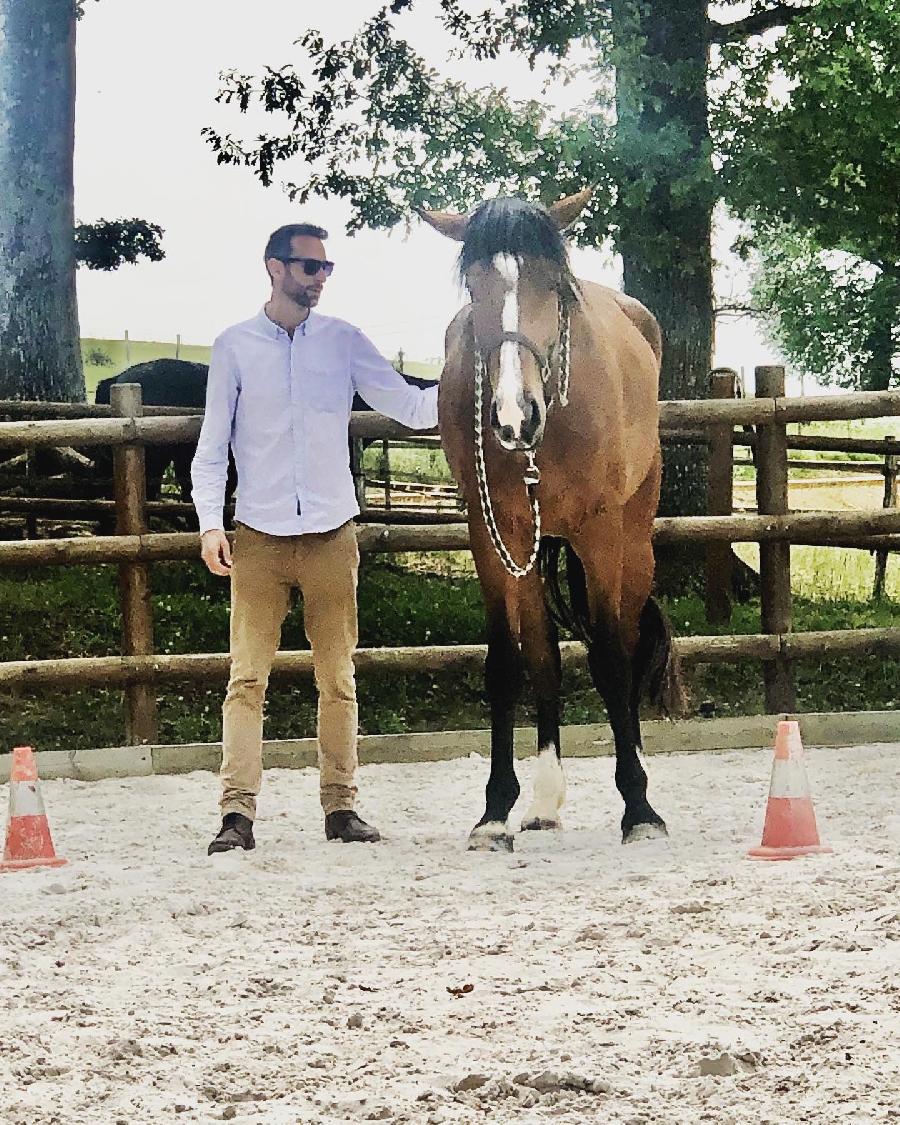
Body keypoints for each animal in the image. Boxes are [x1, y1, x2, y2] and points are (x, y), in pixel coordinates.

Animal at [418, 189, 684, 846]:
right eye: (474, 287)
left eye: (553, 284)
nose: (516, 415)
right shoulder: (492, 535)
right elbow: (510, 662)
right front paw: (495, 811)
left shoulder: (600, 531)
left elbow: (610, 659)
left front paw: (638, 807)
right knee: (545, 657)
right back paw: (543, 802)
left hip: (634, 541)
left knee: (628, 646)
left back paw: (636, 769)